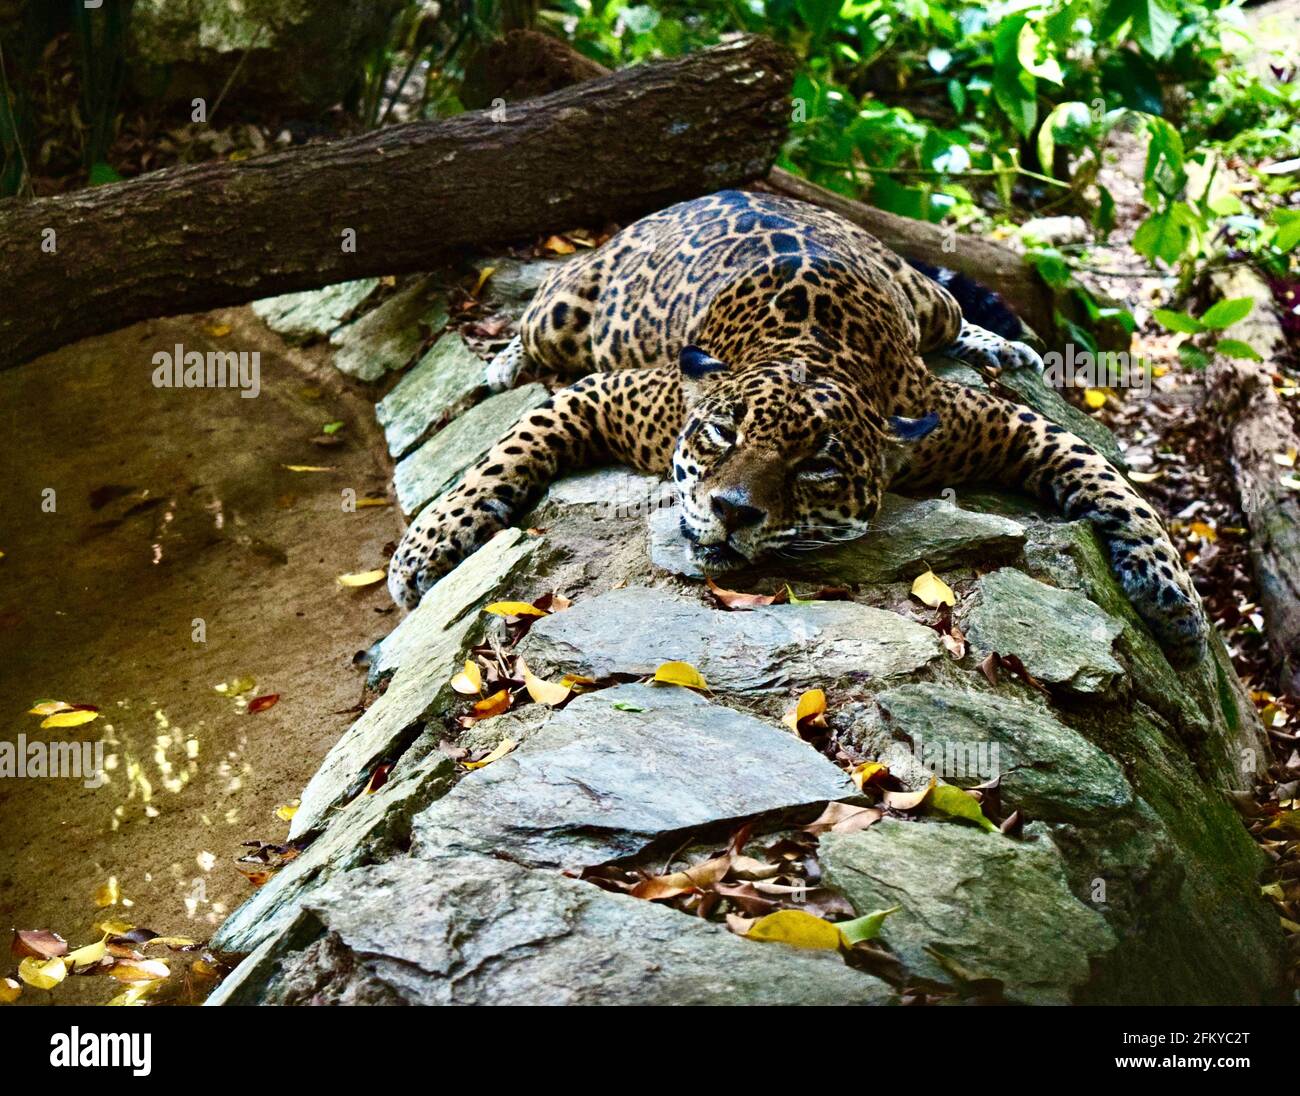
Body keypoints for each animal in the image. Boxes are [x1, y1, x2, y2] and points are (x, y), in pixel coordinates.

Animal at [387, 189, 1208, 666]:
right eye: (721, 436)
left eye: (818, 467)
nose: (732, 511)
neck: (809, 352)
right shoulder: (602, 394)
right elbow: (501, 454)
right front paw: (425, 549)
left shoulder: (990, 422)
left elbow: (1109, 481)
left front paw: (1173, 595)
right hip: (563, 311)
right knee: (532, 332)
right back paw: (501, 366)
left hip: (924, 298)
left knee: (953, 313)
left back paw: (1001, 345)